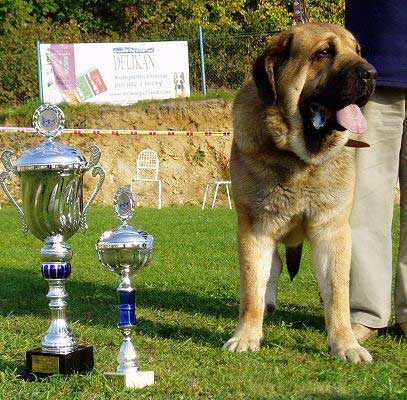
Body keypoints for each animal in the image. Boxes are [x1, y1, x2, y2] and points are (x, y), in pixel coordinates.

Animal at [225, 23, 378, 364]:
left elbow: (337, 292)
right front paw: (246, 337)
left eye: (357, 51)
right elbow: (252, 288)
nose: (371, 74)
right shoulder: (254, 229)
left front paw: (346, 344)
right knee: (272, 270)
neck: (299, 157)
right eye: (323, 53)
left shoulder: (333, 231)